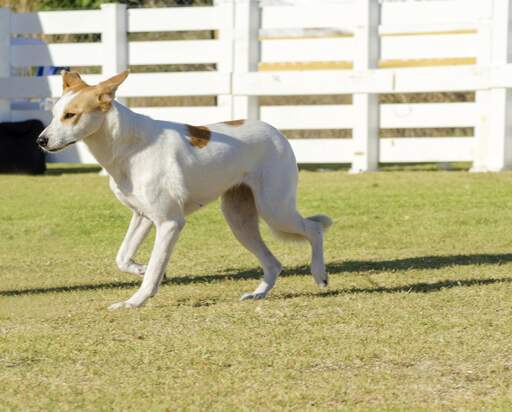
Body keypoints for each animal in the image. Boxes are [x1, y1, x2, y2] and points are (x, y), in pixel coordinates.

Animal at [37, 71, 332, 308]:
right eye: (53, 115)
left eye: (70, 115)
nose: (41, 141)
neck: (128, 146)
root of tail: (277, 132)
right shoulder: (143, 217)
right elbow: (122, 258)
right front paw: (142, 269)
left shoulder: (169, 222)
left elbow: (155, 269)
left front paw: (135, 301)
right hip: (239, 220)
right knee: (273, 263)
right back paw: (258, 294)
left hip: (275, 210)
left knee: (314, 229)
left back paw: (319, 274)